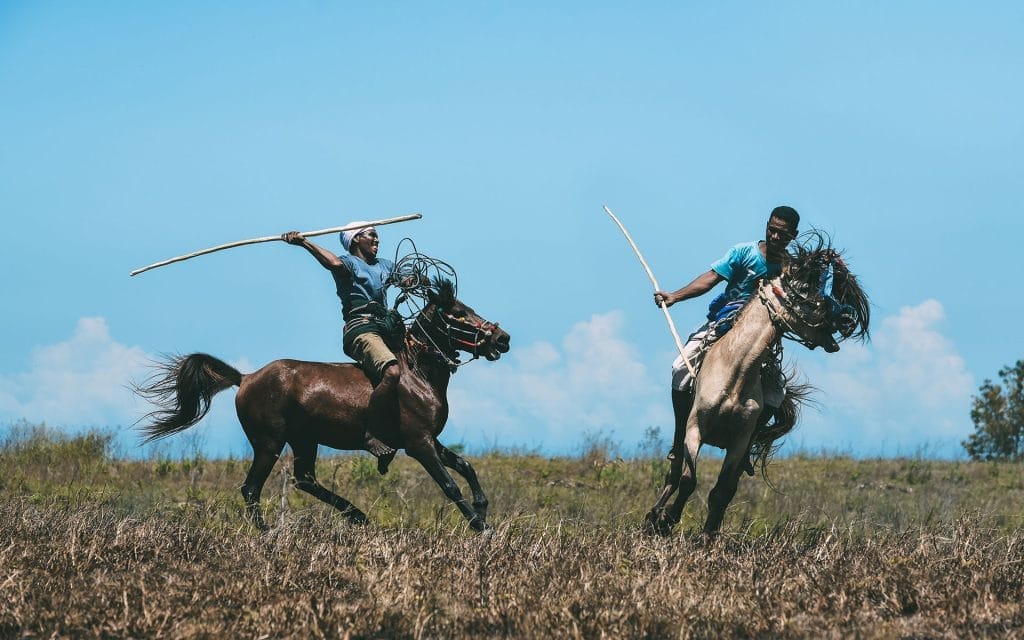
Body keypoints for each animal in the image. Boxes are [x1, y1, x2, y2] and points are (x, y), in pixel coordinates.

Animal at [136, 278, 512, 528]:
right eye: (458, 313)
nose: (502, 338)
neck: (417, 373)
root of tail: (246, 378)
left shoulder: (429, 439)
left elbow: (466, 466)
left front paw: (481, 507)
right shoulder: (418, 443)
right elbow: (449, 483)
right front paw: (480, 526)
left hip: (305, 440)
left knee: (304, 479)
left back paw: (357, 515)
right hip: (269, 443)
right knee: (251, 488)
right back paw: (268, 533)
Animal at [643, 233, 868, 532]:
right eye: (805, 290)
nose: (848, 318)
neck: (734, 375)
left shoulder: (740, 443)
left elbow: (721, 492)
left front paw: (708, 535)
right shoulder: (695, 429)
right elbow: (689, 480)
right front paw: (666, 520)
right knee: (676, 469)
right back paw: (653, 516)